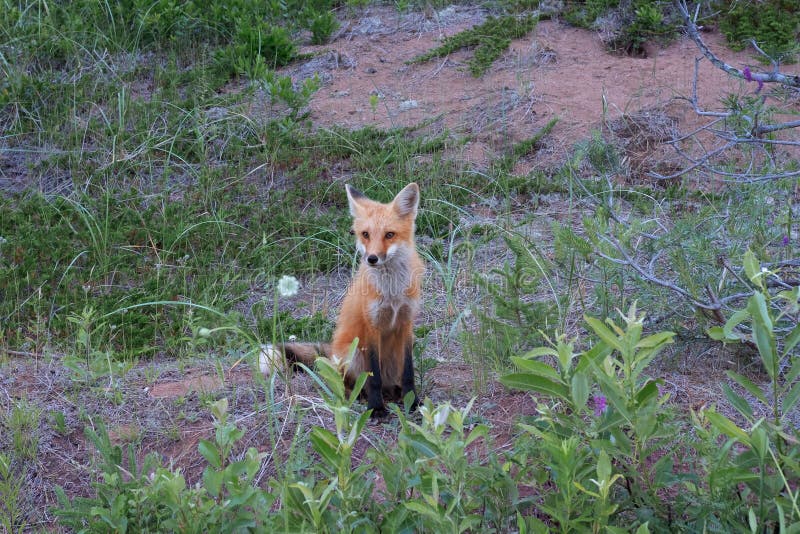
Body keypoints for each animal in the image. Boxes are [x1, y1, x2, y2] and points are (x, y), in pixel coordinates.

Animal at [264, 184, 424, 418]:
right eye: (365, 234)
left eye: (389, 235)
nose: (372, 258)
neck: (391, 292)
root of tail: (331, 349)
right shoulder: (371, 326)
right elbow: (373, 377)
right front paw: (376, 408)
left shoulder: (406, 323)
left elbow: (409, 373)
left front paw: (413, 402)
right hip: (352, 352)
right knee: (348, 383)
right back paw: (357, 397)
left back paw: (394, 392)